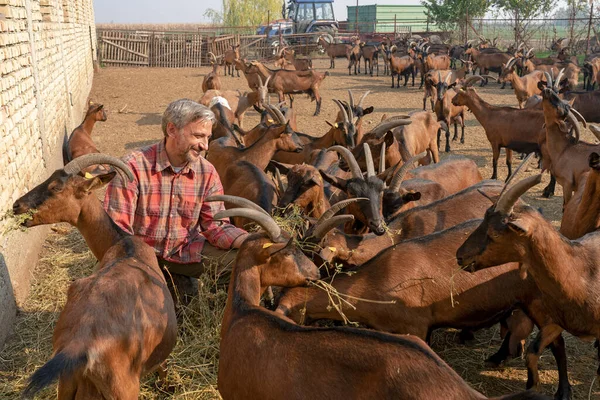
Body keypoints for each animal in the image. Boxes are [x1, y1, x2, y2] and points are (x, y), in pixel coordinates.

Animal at [16, 154, 176, 400]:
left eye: (56, 187)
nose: (16, 206)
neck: (122, 243)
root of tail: (78, 346)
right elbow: (163, 366)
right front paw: (166, 387)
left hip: (67, 385)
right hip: (123, 389)